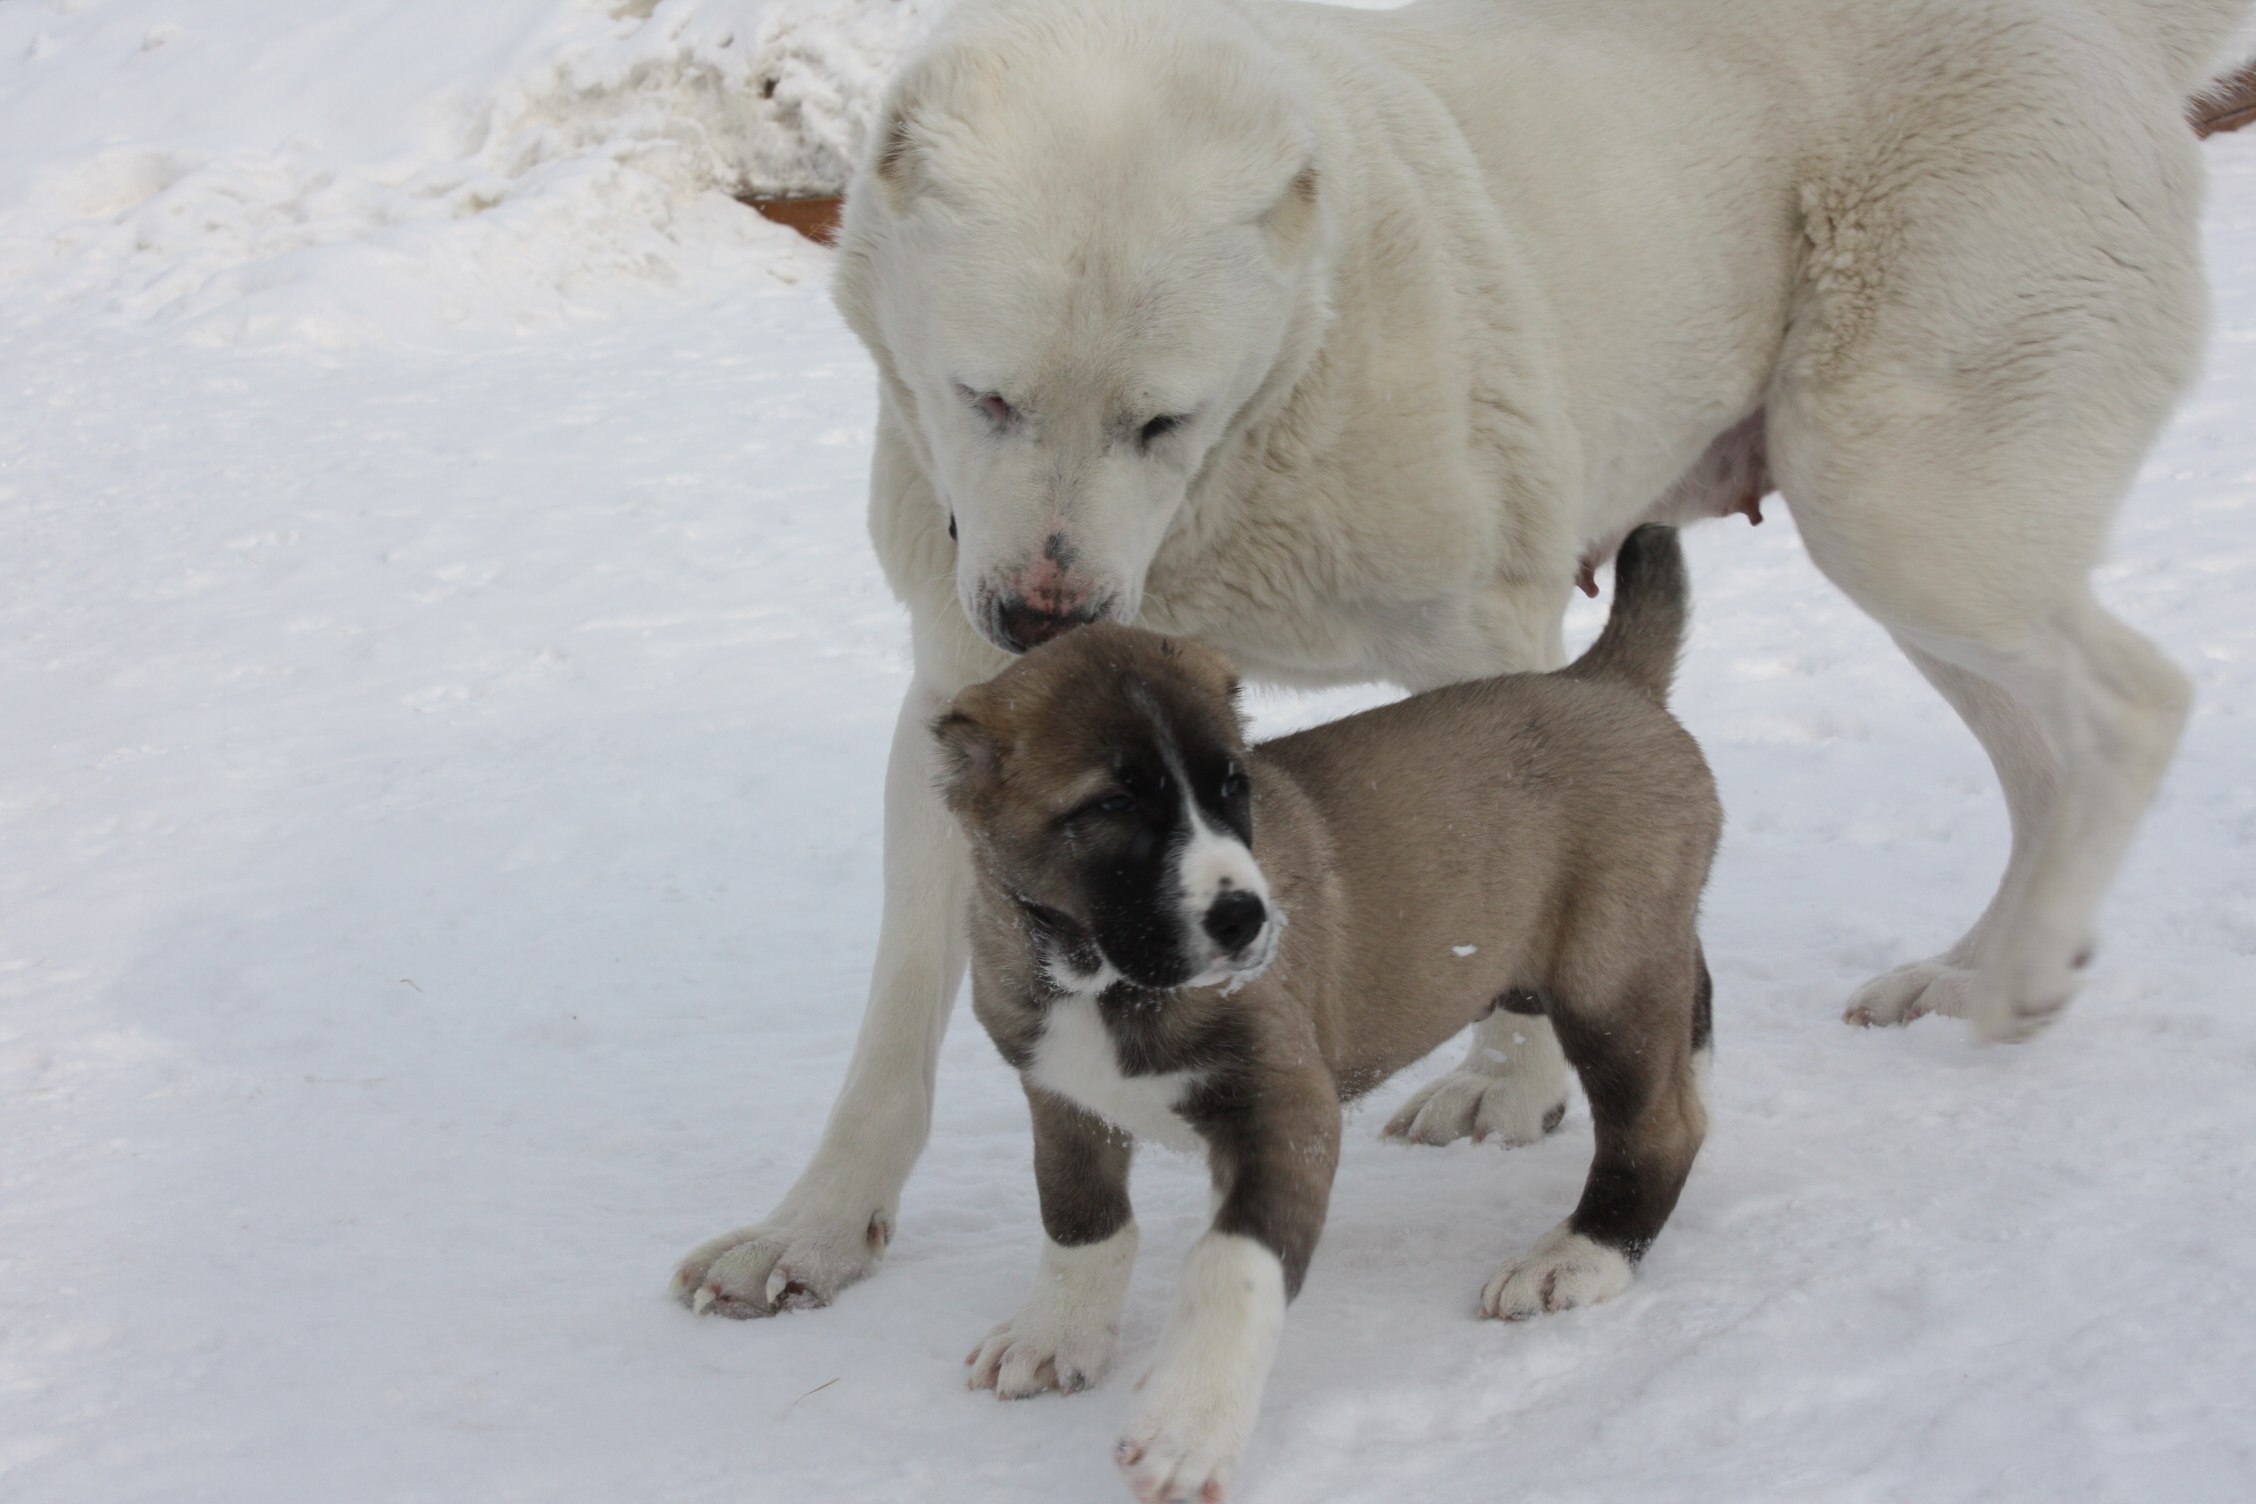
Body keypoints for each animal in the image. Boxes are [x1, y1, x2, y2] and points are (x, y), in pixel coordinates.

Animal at [933, 529, 1723, 1504]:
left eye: (1232, 787)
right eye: (1112, 805)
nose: (1247, 919)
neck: (1096, 973)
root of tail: (1608, 681)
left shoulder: (1286, 1109)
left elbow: (1232, 1270)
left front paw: (1186, 1427)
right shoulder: (1062, 1098)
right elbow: (1080, 1221)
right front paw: (1056, 1333)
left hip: (1607, 976)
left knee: (1662, 1124)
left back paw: (1577, 1256)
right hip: (1614, 957)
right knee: (1691, 1031)